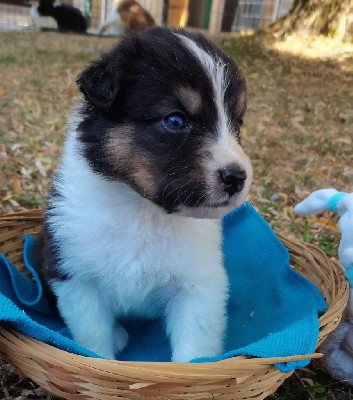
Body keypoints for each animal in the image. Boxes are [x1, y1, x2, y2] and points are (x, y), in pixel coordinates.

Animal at [34, 26, 252, 360]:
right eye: (175, 120)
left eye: (237, 124)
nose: (237, 177)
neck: (143, 211)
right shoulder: (76, 279)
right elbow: (94, 341)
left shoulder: (199, 286)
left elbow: (195, 350)